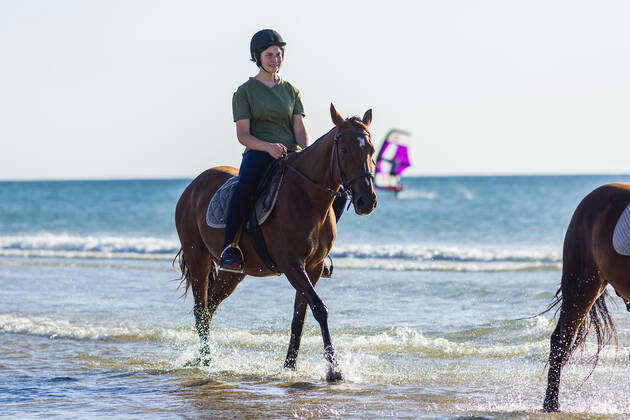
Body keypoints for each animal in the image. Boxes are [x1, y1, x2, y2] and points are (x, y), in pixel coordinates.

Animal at [174, 104, 376, 380]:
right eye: (344, 150)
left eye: (371, 150)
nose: (367, 201)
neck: (306, 196)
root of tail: (192, 187)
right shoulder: (292, 264)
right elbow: (320, 308)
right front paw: (334, 370)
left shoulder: (312, 267)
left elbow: (300, 316)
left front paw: (290, 366)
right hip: (198, 258)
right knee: (200, 309)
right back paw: (205, 361)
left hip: (233, 274)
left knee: (209, 308)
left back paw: (200, 358)